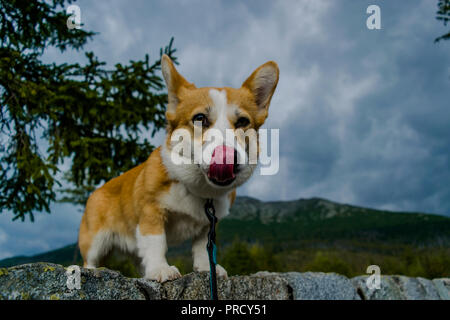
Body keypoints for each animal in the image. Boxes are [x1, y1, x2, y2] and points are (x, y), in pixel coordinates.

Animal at [79, 55, 280, 282]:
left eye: (243, 121)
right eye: (200, 118)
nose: (228, 156)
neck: (197, 188)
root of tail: (97, 191)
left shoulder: (209, 224)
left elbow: (203, 247)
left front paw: (207, 268)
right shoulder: (151, 213)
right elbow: (156, 243)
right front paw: (160, 269)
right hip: (95, 241)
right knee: (91, 260)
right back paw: (92, 271)